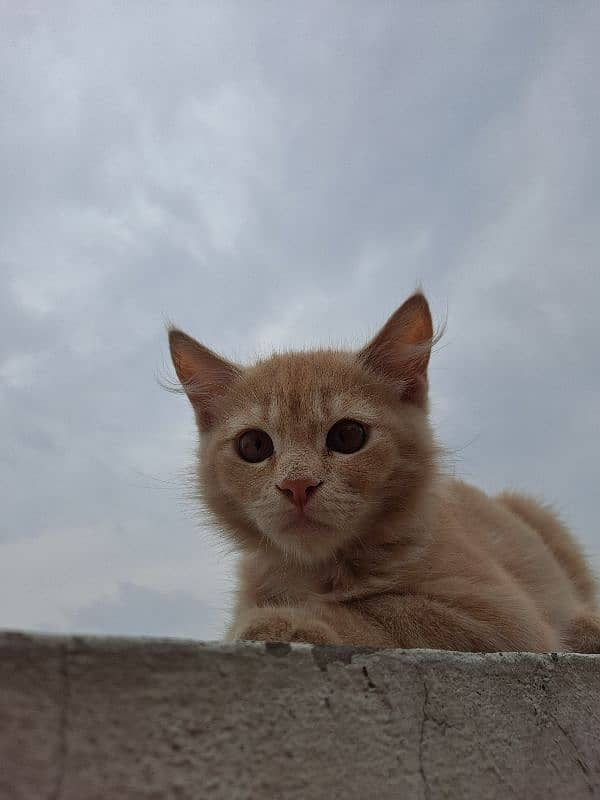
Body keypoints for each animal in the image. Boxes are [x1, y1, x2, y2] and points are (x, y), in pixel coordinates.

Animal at [169, 292, 600, 648]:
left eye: (348, 436)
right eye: (254, 446)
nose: (297, 484)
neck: (320, 571)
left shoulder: (504, 619)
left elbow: (385, 610)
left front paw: (289, 620)